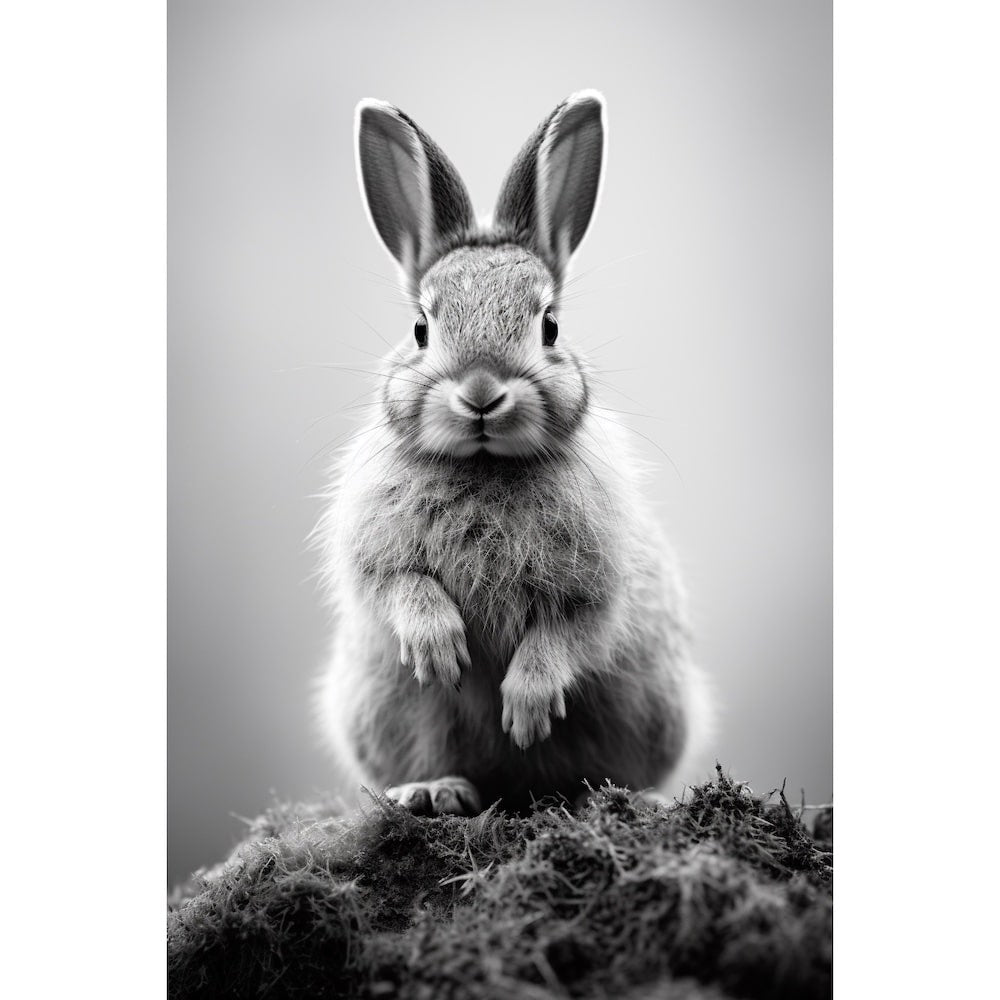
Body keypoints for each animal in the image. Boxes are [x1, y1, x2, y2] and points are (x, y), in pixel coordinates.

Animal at [314, 90, 711, 816]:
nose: (480, 393)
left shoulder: (595, 585)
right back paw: (435, 791)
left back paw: (620, 798)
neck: (486, 465)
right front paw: (441, 651)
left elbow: (566, 634)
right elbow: (402, 586)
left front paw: (526, 709)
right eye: (421, 328)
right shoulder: (376, 555)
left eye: (549, 326)